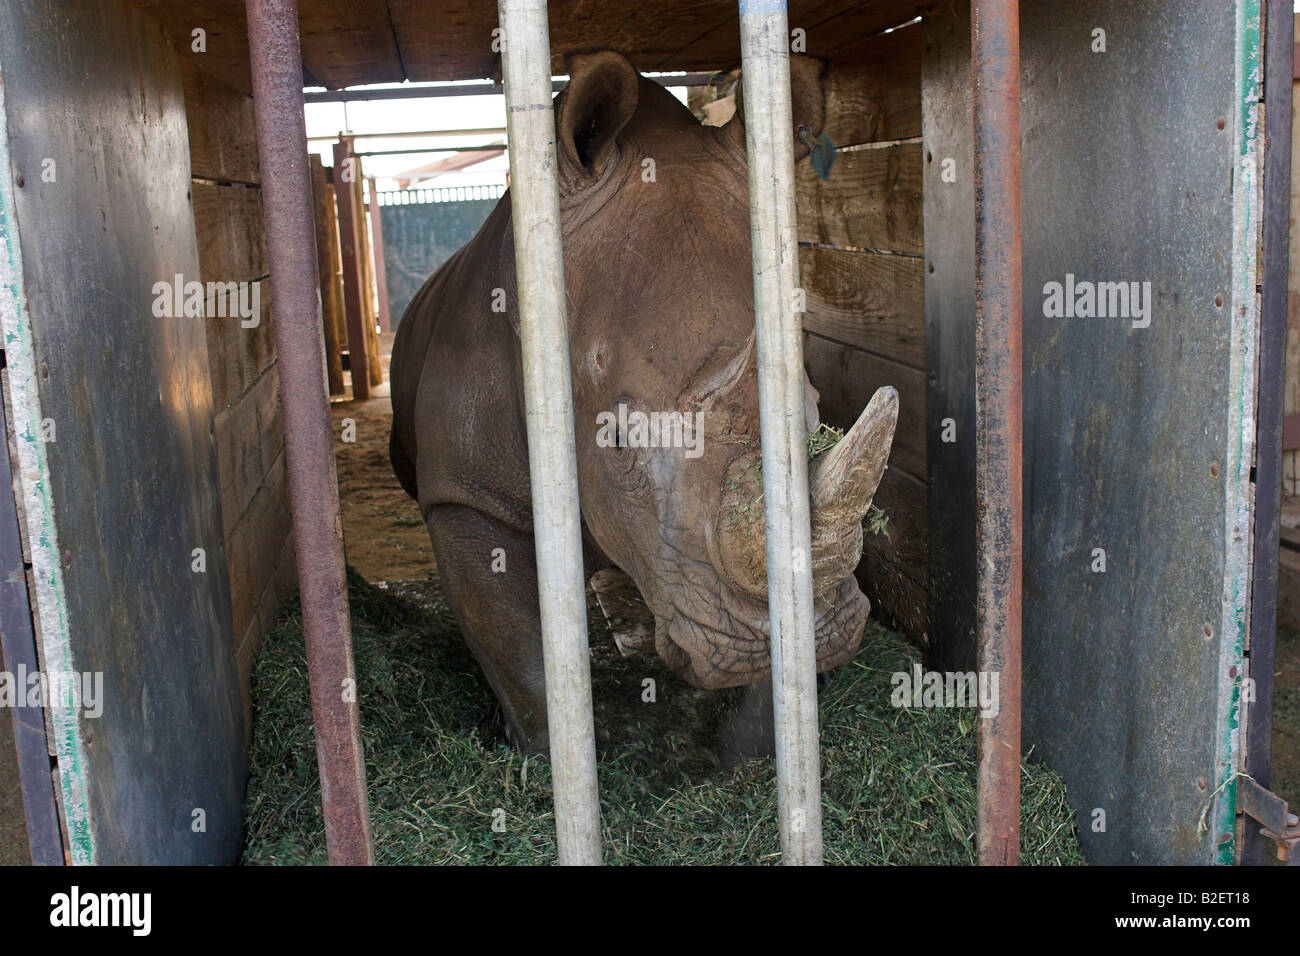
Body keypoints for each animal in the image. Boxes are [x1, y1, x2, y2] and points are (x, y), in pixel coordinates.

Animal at [389, 50, 898, 755]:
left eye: (818, 412)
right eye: (617, 438)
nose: (814, 636)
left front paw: (747, 752)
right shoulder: (465, 495)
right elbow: (524, 658)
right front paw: (547, 762)